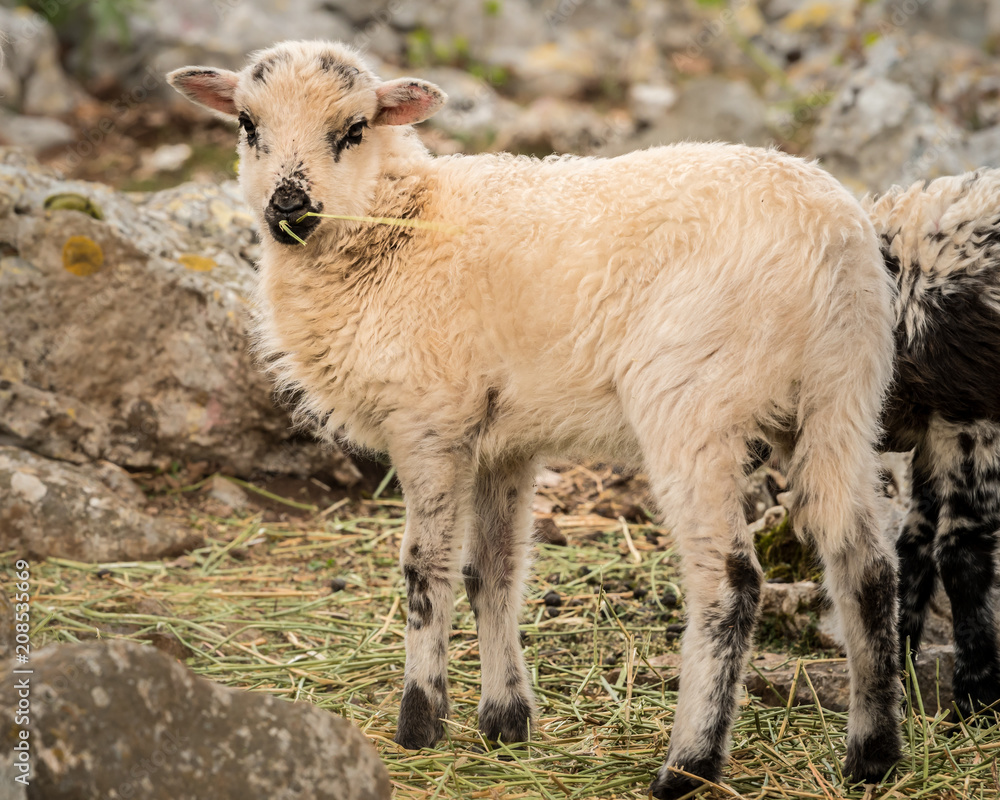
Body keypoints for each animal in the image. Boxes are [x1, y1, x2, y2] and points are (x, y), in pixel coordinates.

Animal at [168, 40, 901, 797]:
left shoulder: (430, 420)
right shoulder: (503, 441)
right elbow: (492, 571)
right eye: (247, 125)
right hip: (843, 397)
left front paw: (420, 721)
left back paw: (689, 765)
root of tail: (833, 242)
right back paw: (872, 754)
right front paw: (504, 719)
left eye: (355, 128)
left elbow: (424, 570)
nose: (288, 206)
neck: (398, 228)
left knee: (730, 584)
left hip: (694, 402)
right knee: (866, 564)